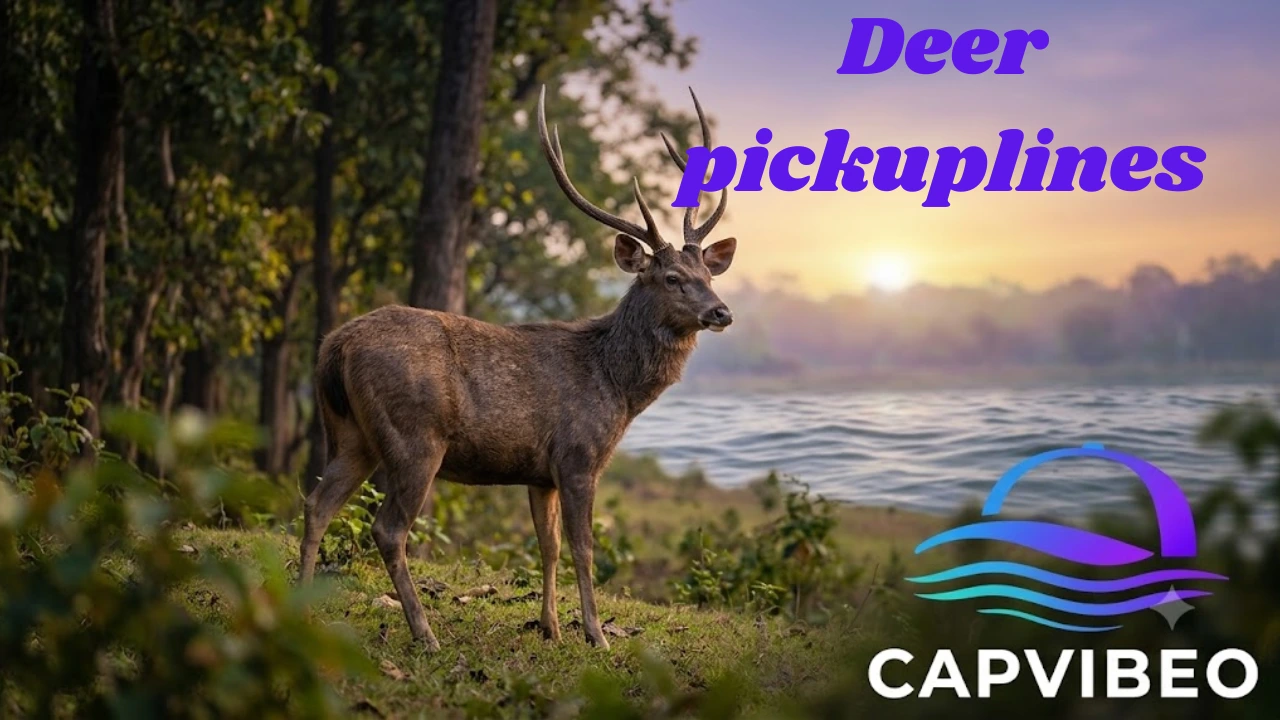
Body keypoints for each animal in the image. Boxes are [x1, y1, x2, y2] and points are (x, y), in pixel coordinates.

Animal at [298, 86, 735, 651]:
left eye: (708, 272)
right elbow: (582, 548)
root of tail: (335, 346)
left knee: (317, 503)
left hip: (349, 433)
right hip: (414, 438)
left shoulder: (539, 472)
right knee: (387, 528)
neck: (617, 389)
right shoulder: (577, 456)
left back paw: (300, 606)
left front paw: (550, 627)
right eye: (671, 278)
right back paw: (425, 632)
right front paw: (596, 634)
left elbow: (547, 545)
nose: (721, 312)